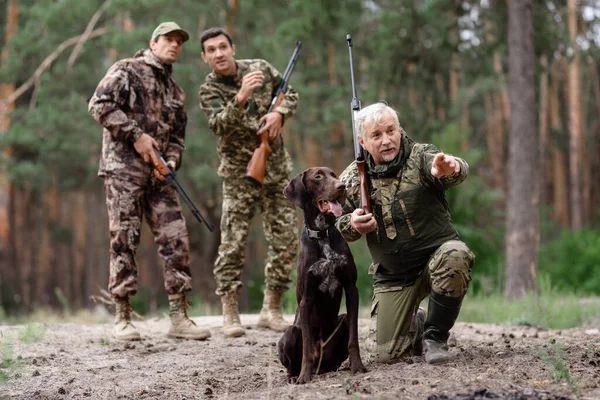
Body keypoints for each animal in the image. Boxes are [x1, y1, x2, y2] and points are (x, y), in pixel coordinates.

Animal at [278, 166, 368, 384]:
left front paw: (357, 366)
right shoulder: (307, 298)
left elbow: (354, 339)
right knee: (294, 360)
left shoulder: (351, 289)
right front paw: (304, 376)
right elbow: (307, 345)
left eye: (334, 175)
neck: (322, 235)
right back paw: (295, 376)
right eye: (318, 176)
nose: (341, 186)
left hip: (342, 322)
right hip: (289, 333)